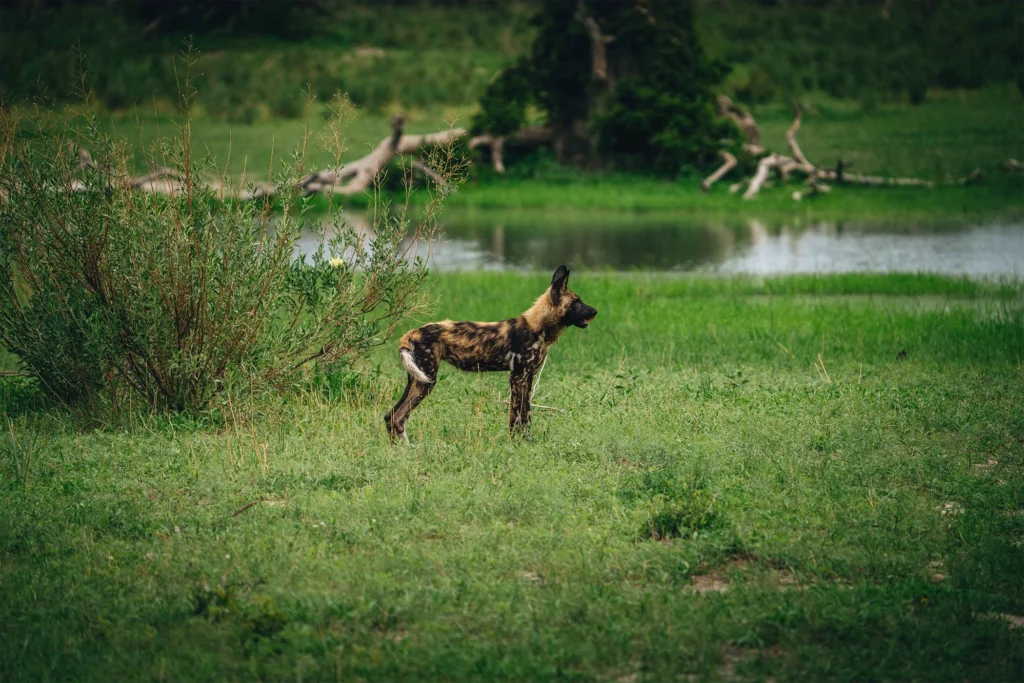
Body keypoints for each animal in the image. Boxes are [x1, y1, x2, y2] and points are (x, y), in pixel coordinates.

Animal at [385, 264, 598, 440]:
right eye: (577, 302)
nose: (595, 311)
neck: (537, 327)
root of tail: (409, 334)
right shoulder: (517, 378)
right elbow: (516, 418)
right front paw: (515, 442)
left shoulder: (527, 378)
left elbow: (526, 416)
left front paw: (526, 441)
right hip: (426, 381)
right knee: (397, 417)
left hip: (417, 379)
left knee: (391, 416)